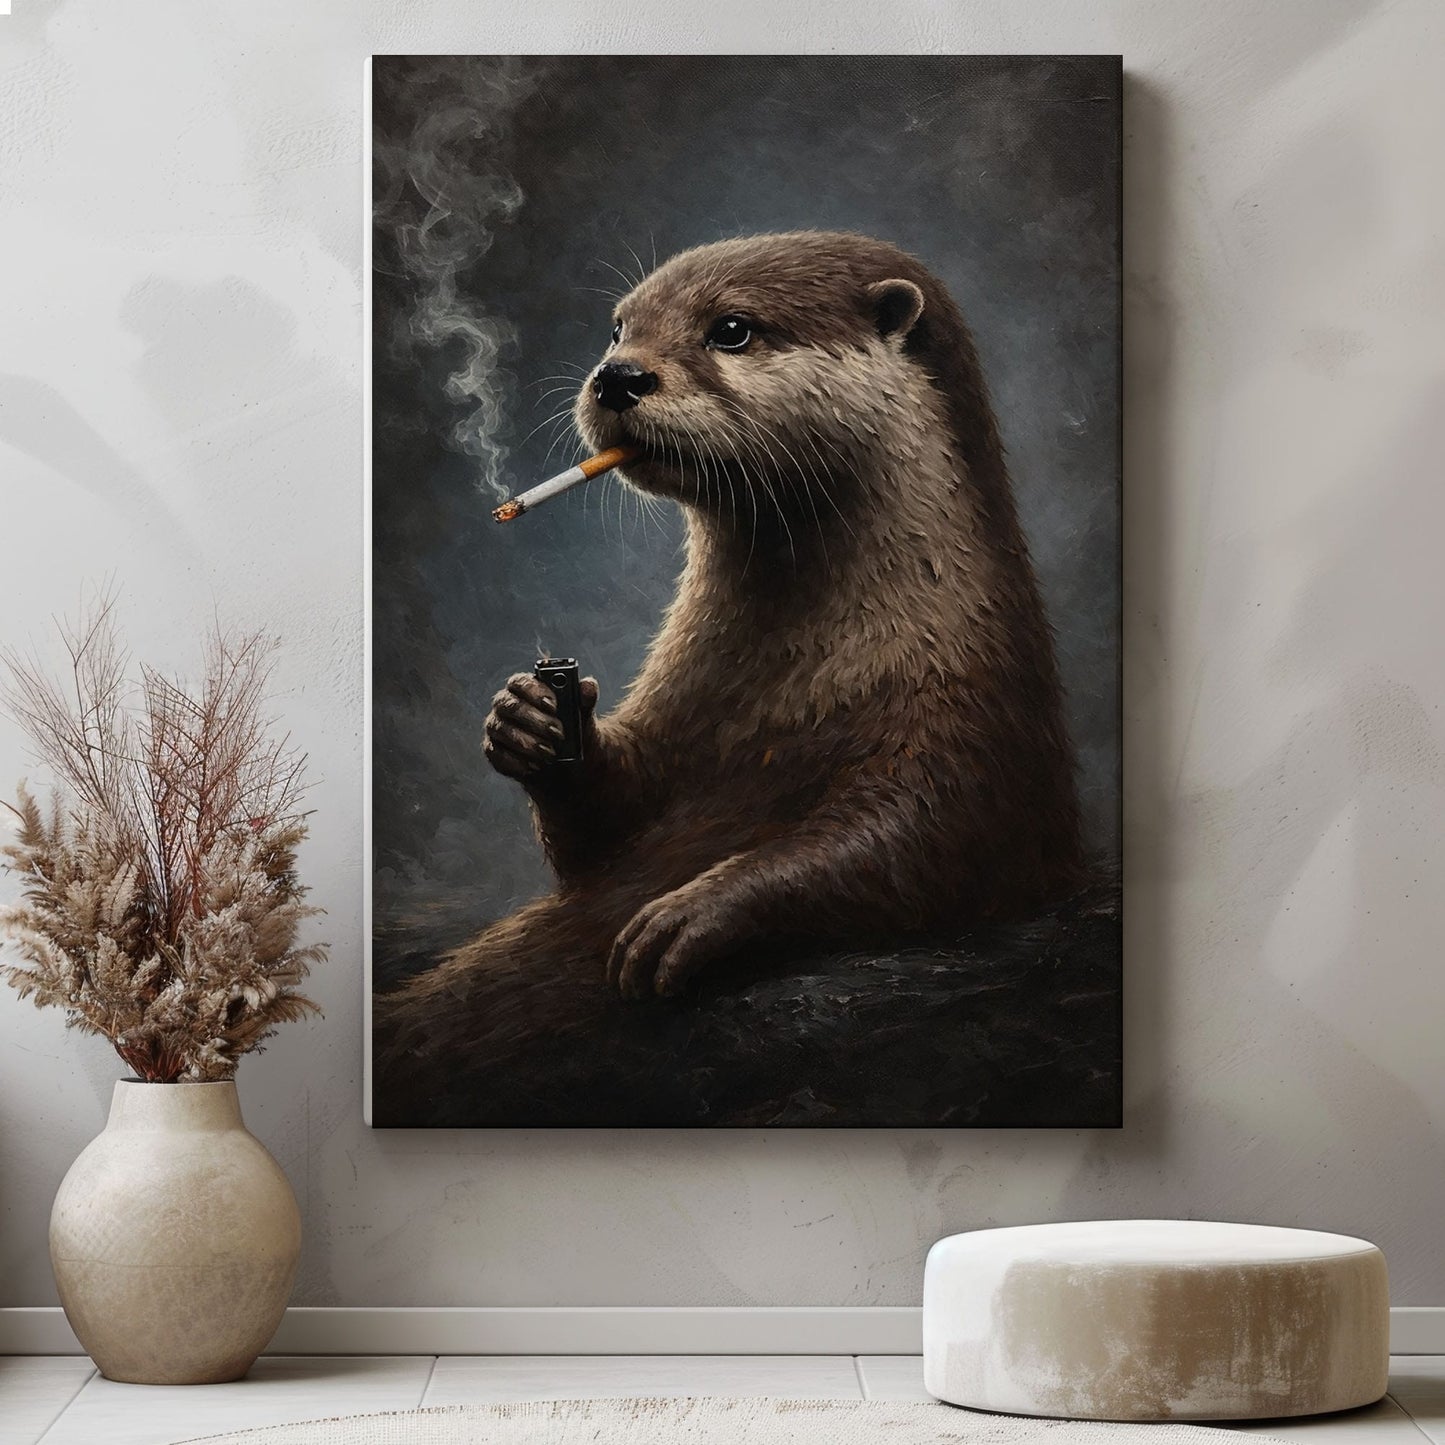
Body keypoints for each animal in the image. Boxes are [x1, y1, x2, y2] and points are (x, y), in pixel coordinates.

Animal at [377, 230, 1083, 1116]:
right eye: (617, 327)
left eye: (733, 329)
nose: (618, 375)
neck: (801, 683)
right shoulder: (680, 716)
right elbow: (606, 838)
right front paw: (533, 719)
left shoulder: (972, 729)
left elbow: (924, 842)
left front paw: (693, 910)